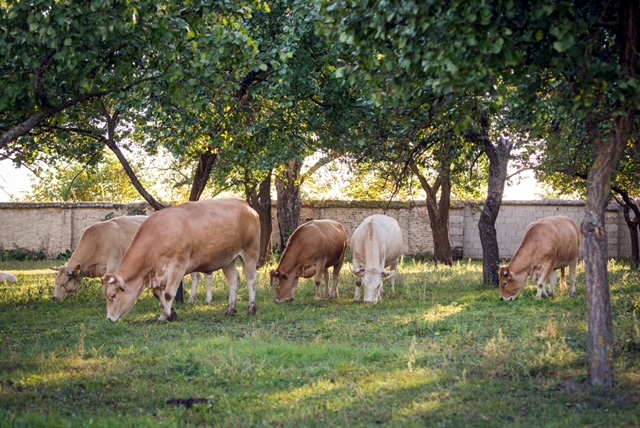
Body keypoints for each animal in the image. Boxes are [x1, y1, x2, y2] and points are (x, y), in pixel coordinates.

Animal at [103, 199, 260, 323]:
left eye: (113, 296)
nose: (109, 319)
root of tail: (244, 203)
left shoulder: (177, 266)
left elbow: (168, 293)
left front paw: (164, 317)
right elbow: (158, 294)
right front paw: (171, 314)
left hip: (250, 251)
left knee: (251, 280)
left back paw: (251, 309)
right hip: (228, 258)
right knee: (233, 281)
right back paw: (231, 309)